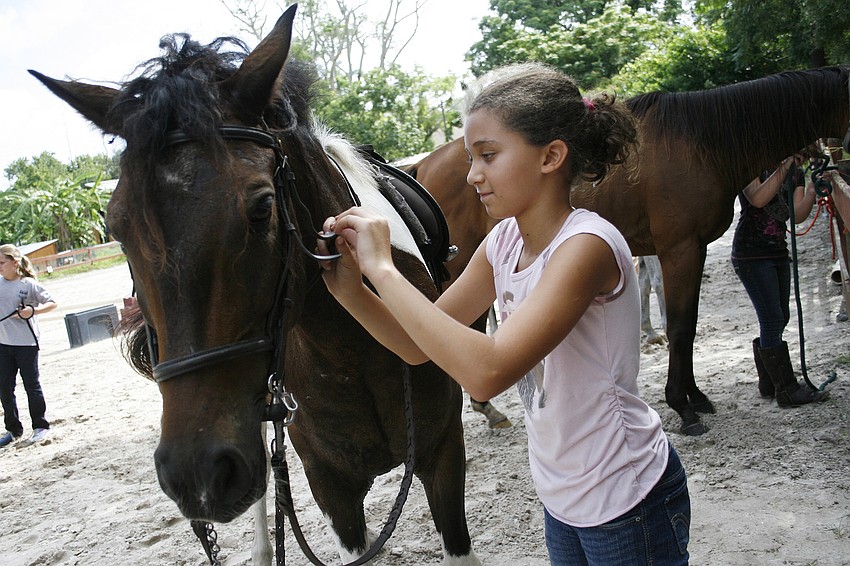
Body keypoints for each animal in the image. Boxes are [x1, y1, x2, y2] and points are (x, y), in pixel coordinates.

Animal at [30, 6, 480, 565]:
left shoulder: (443, 454)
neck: (355, 350)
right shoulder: (330, 489)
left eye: (263, 207)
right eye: (117, 228)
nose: (195, 475)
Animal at [405, 66, 850, 435]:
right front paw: (683, 407)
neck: (703, 145)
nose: (834, 171)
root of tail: (423, 166)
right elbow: (680, 327)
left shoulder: (696, 248)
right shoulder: (679, 249)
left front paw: (697, 397)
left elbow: (686, 325)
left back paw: (488, 409)